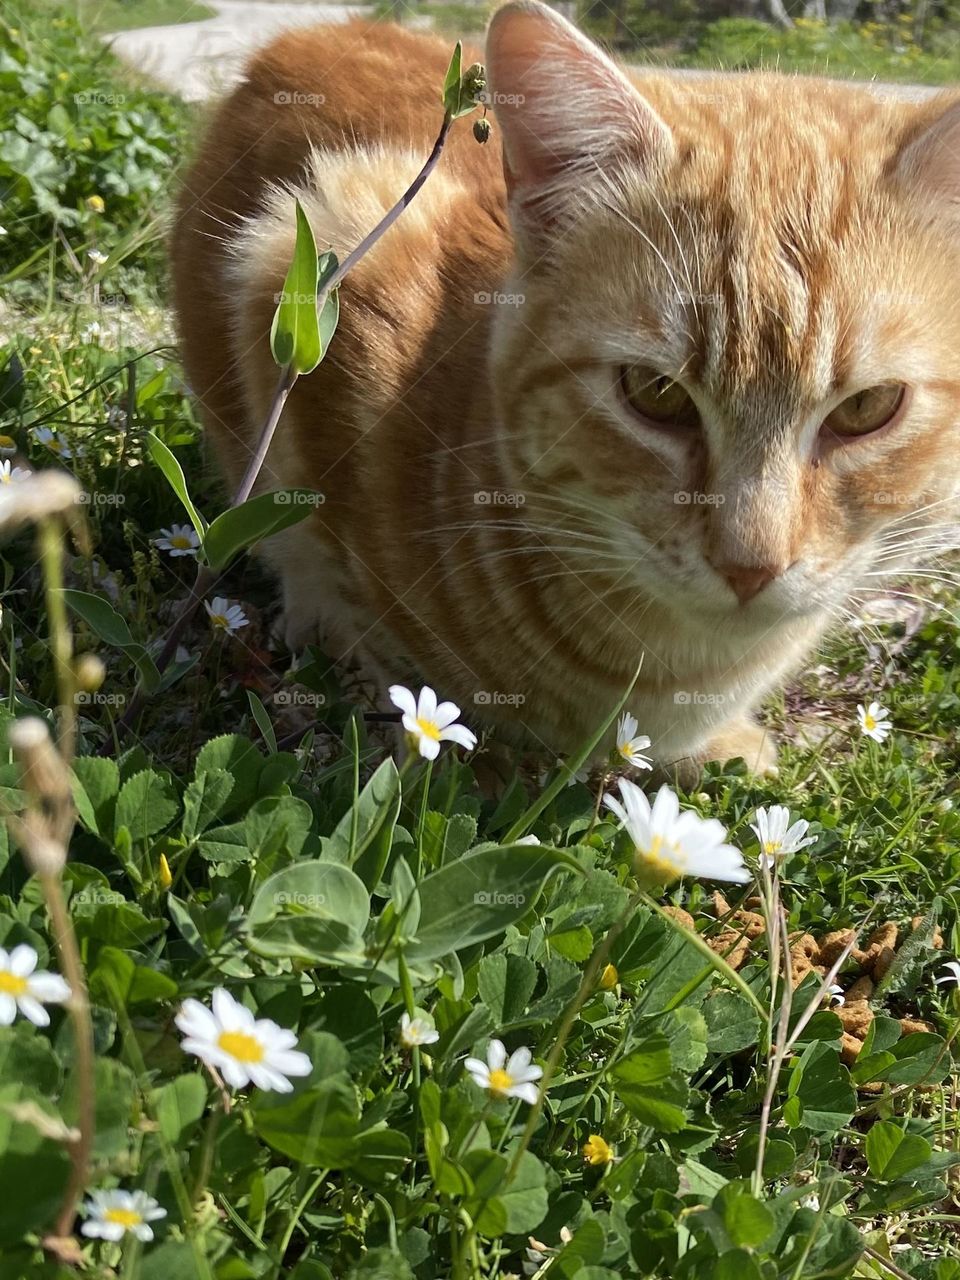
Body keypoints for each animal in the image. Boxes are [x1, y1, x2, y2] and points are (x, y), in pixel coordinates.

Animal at [171, 2, 960, 768]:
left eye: (866, 408)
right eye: (655, 393)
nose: (750, 568)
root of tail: (316, 30)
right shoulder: (303, 274)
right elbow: (317, 556)